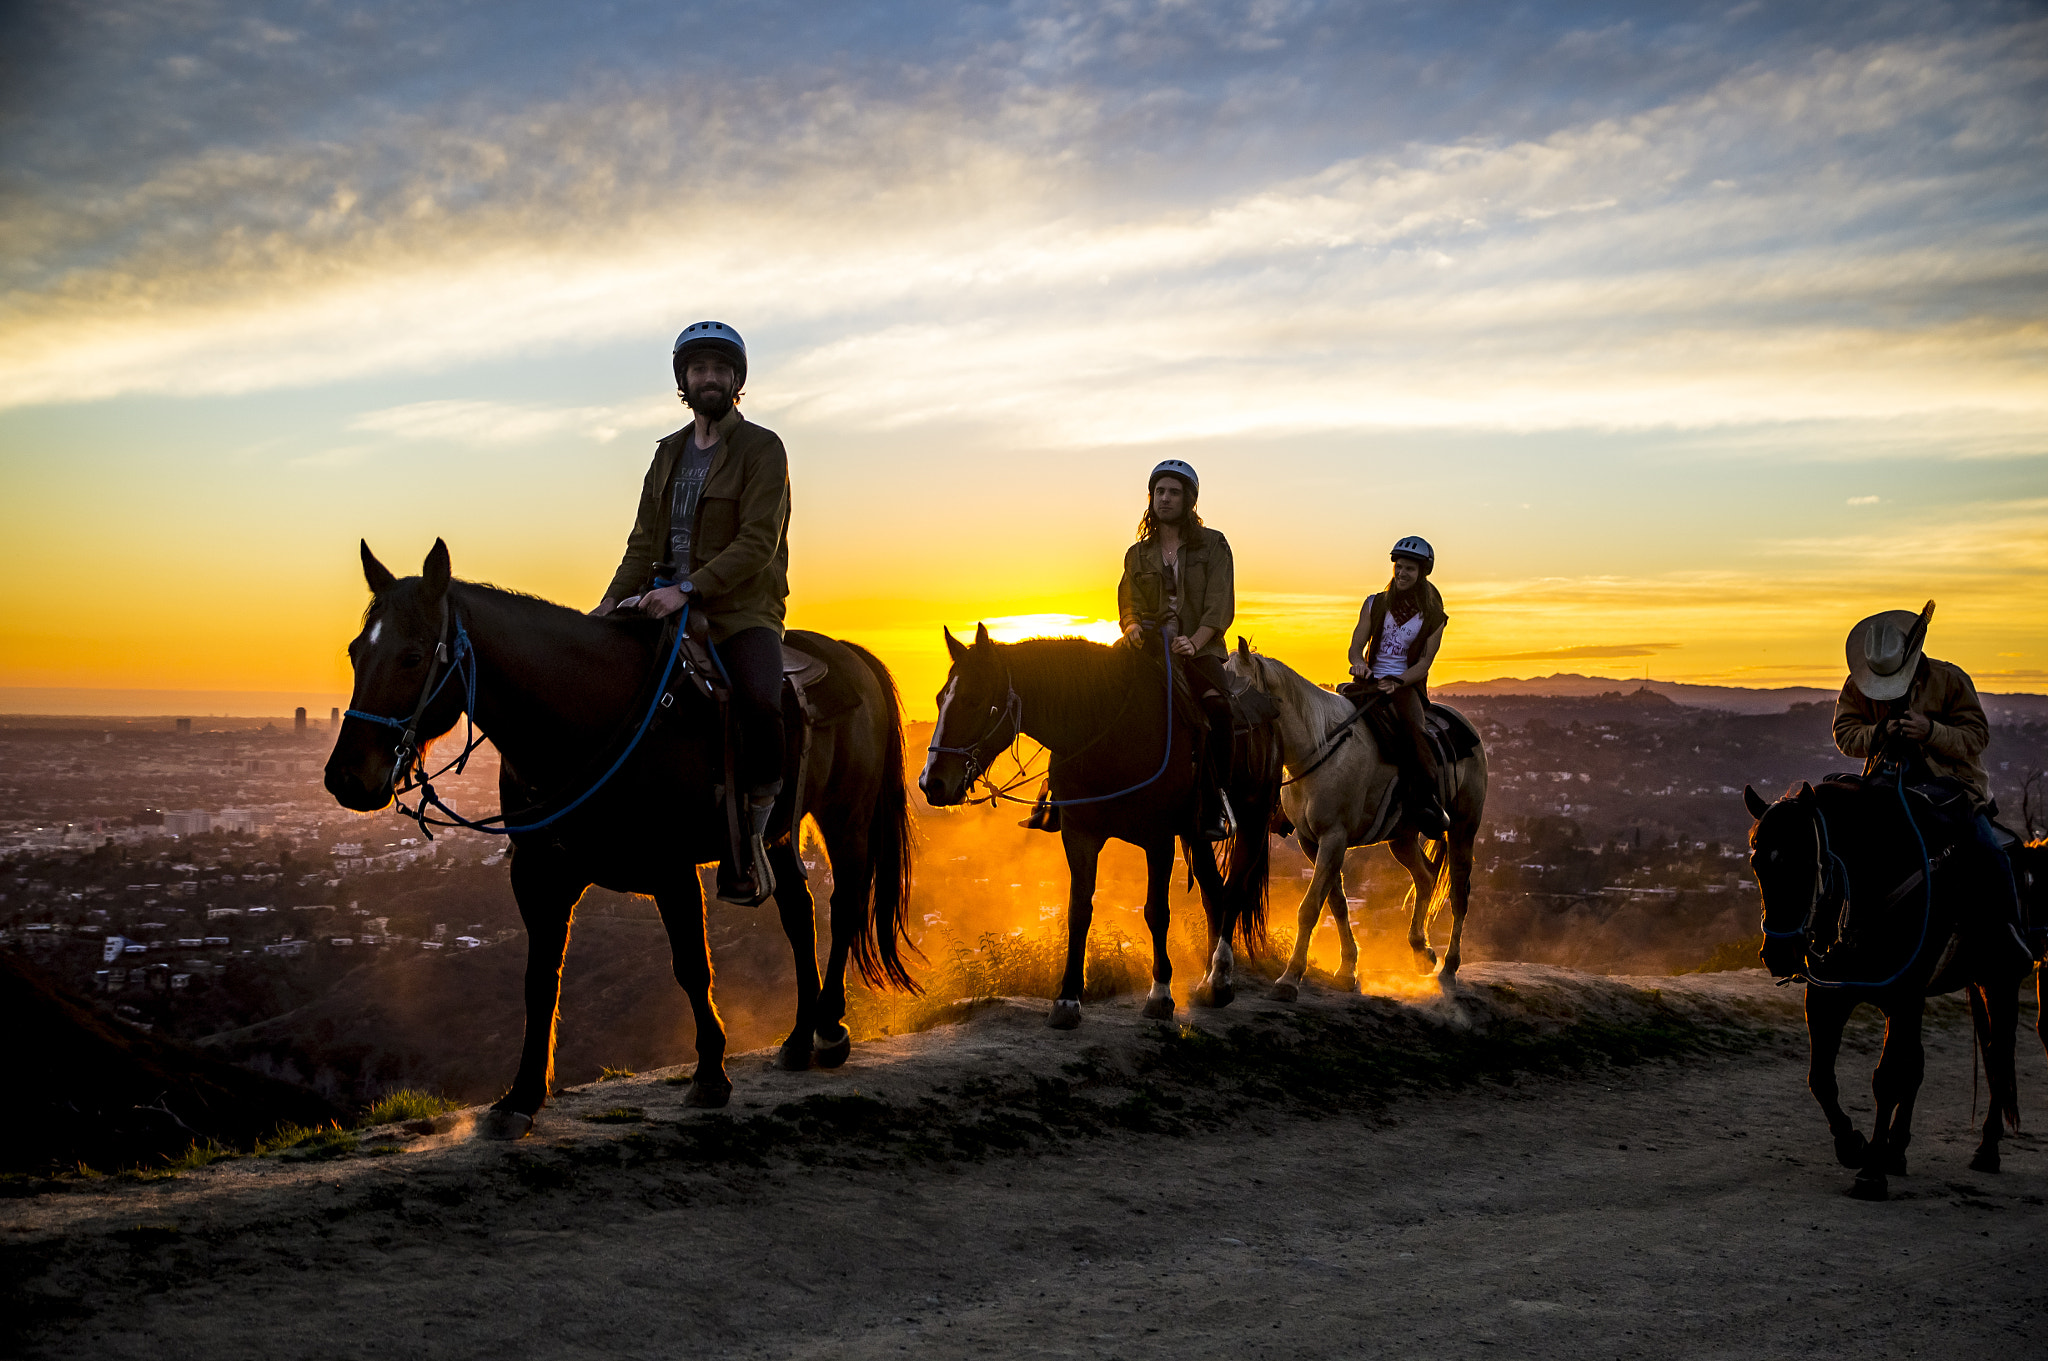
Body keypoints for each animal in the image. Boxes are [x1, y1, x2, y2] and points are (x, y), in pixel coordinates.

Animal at [323, 540, 917, 1137]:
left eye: (412, 656)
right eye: (355, 652)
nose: (345, 778)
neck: (587, 720)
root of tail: (850, 655)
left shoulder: (672, 871)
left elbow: (692, 968)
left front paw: (710, 1074)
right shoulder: (539, 873)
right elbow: (541, 979)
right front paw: (521, 1097)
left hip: (845, 817)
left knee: (844, 906)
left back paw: (830, 1028)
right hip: (773, 839)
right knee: (799, 912)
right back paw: (797, 1038)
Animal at [917, 626, 1269, 1031]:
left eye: (974, 700)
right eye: (941, 698)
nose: (931, 783)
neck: (1104, 728)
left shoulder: (1159, 839)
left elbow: (1156, 911)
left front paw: (1160, 995)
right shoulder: (1080, 835)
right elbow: (1078, 911)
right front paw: (1067, 999)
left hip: (1252, 821)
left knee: (1234, 889)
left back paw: (1222, 977)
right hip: (1196, 833)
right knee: (1213, 891)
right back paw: (1210, 981)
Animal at [1212, 638, 1490, 986]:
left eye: (1236, 692)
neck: (1319, 747)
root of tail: (1466, 725)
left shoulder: (1334, 837)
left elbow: (1310, 907)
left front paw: (1291, 976)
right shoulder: (1311, 841)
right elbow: (1336, 903)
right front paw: (1347, 967)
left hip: (1464, 827)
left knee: (1459, 893)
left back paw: (1450, 965)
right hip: (1402, 835)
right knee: (1425, 876)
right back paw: (1421, 950)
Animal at [1744, 773, 2031, 1203]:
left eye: (1806, 862)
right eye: (1757, 862)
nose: (1779, 953)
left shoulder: (1904, 996)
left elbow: (1887, 1079)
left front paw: (1871, 1173)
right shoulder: (1829, 997)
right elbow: (1821, 1077)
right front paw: (1853, 1145)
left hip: (1998, 981)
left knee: (1999, 1055)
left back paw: (1987, 1148)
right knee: (1924, 1062)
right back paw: (1898, 1150)